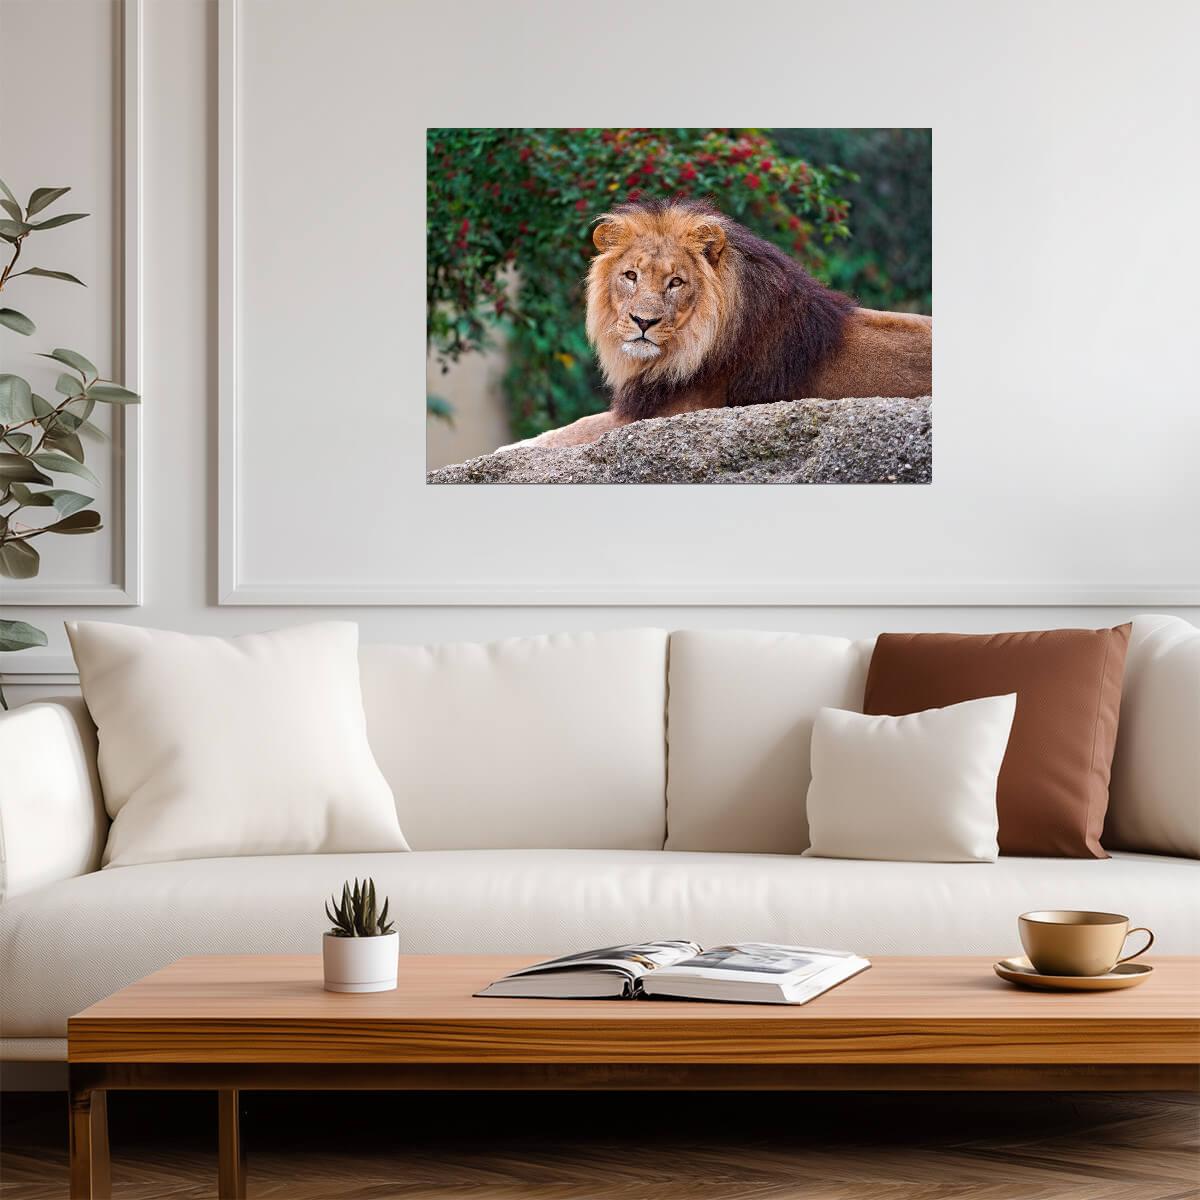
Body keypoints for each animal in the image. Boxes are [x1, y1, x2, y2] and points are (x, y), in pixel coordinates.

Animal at [505, 198, 931, 450]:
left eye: (676, 282)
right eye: (630, 276)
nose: (643, 321)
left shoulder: (669, 414)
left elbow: (576, 428)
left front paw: (513, 448)